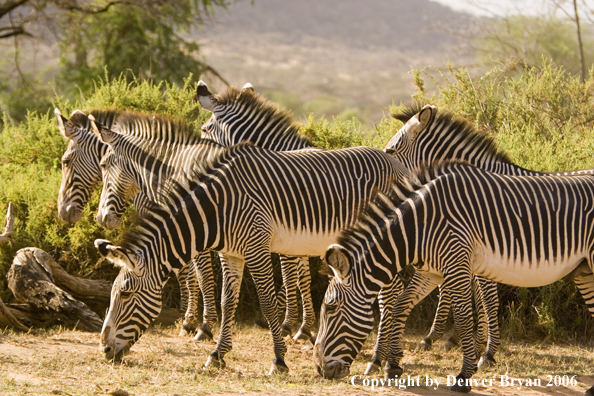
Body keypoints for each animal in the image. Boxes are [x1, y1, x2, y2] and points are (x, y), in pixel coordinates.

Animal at [95, 138, 410, 372]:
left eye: (124, 294)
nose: (105, 349)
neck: (217, 207)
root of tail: (396, 163)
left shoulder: (257, 248)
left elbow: (268, 304)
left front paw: (279, 360)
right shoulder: (231, 254)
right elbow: (226, 301)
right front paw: (217, 354)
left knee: (391, 293)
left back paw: (380, 360)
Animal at [314, 161, 592, 396]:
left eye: (330, 307)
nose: (319, 369)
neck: (418, 226)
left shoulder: (456, 263)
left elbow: (463, 317)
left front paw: (464, 376)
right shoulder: (432, 271)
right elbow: (402, 304)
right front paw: (392, 365)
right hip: (585, 270)